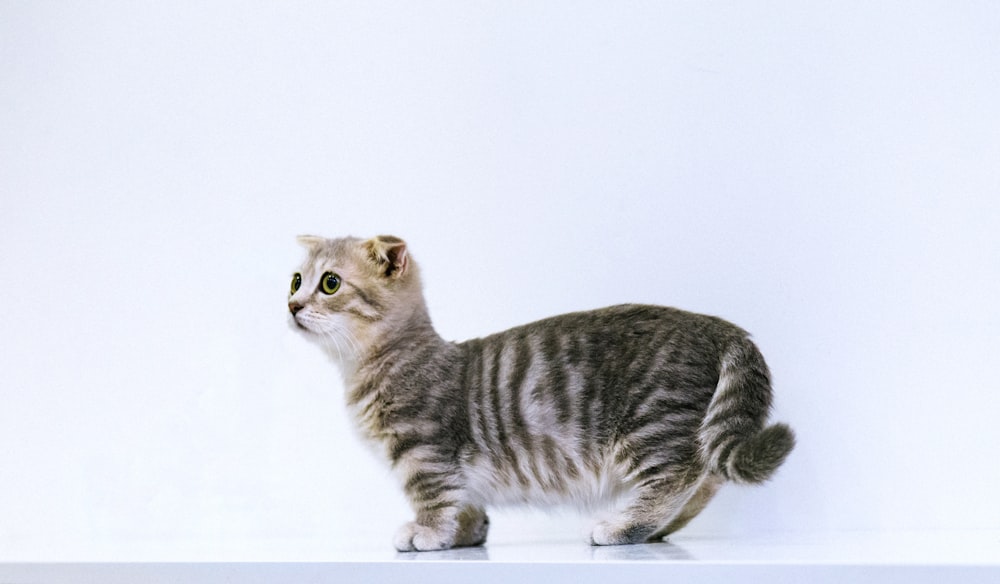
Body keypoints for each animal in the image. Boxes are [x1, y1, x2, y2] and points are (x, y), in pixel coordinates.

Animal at [290, 234, 796, 552]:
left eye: (330, 283)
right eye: (295, 280)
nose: (292, 304)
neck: (371, 364)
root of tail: (720, 327)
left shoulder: (425, 452)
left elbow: (433, 497)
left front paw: (429, 533)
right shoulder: (456, 472)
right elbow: (466, 503)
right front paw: (465, 535)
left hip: (650, 420)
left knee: (677, 475)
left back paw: (626, 526)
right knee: (706, 476)